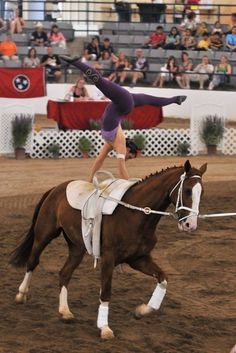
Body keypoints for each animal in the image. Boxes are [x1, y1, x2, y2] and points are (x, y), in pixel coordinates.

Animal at [10, 160, 206, 338]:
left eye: (201, 192)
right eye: (188, 190)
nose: (190, 225)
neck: (135, 215)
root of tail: (56, 188)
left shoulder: (138, 259)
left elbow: (163, 279)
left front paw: (143, 310)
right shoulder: (108, 259)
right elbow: (105, 292)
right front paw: (104, 328)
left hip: (76, 248)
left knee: (64, 273)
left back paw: (65, 311)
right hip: (44, 236)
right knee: (32, 261)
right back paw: (21, 294)